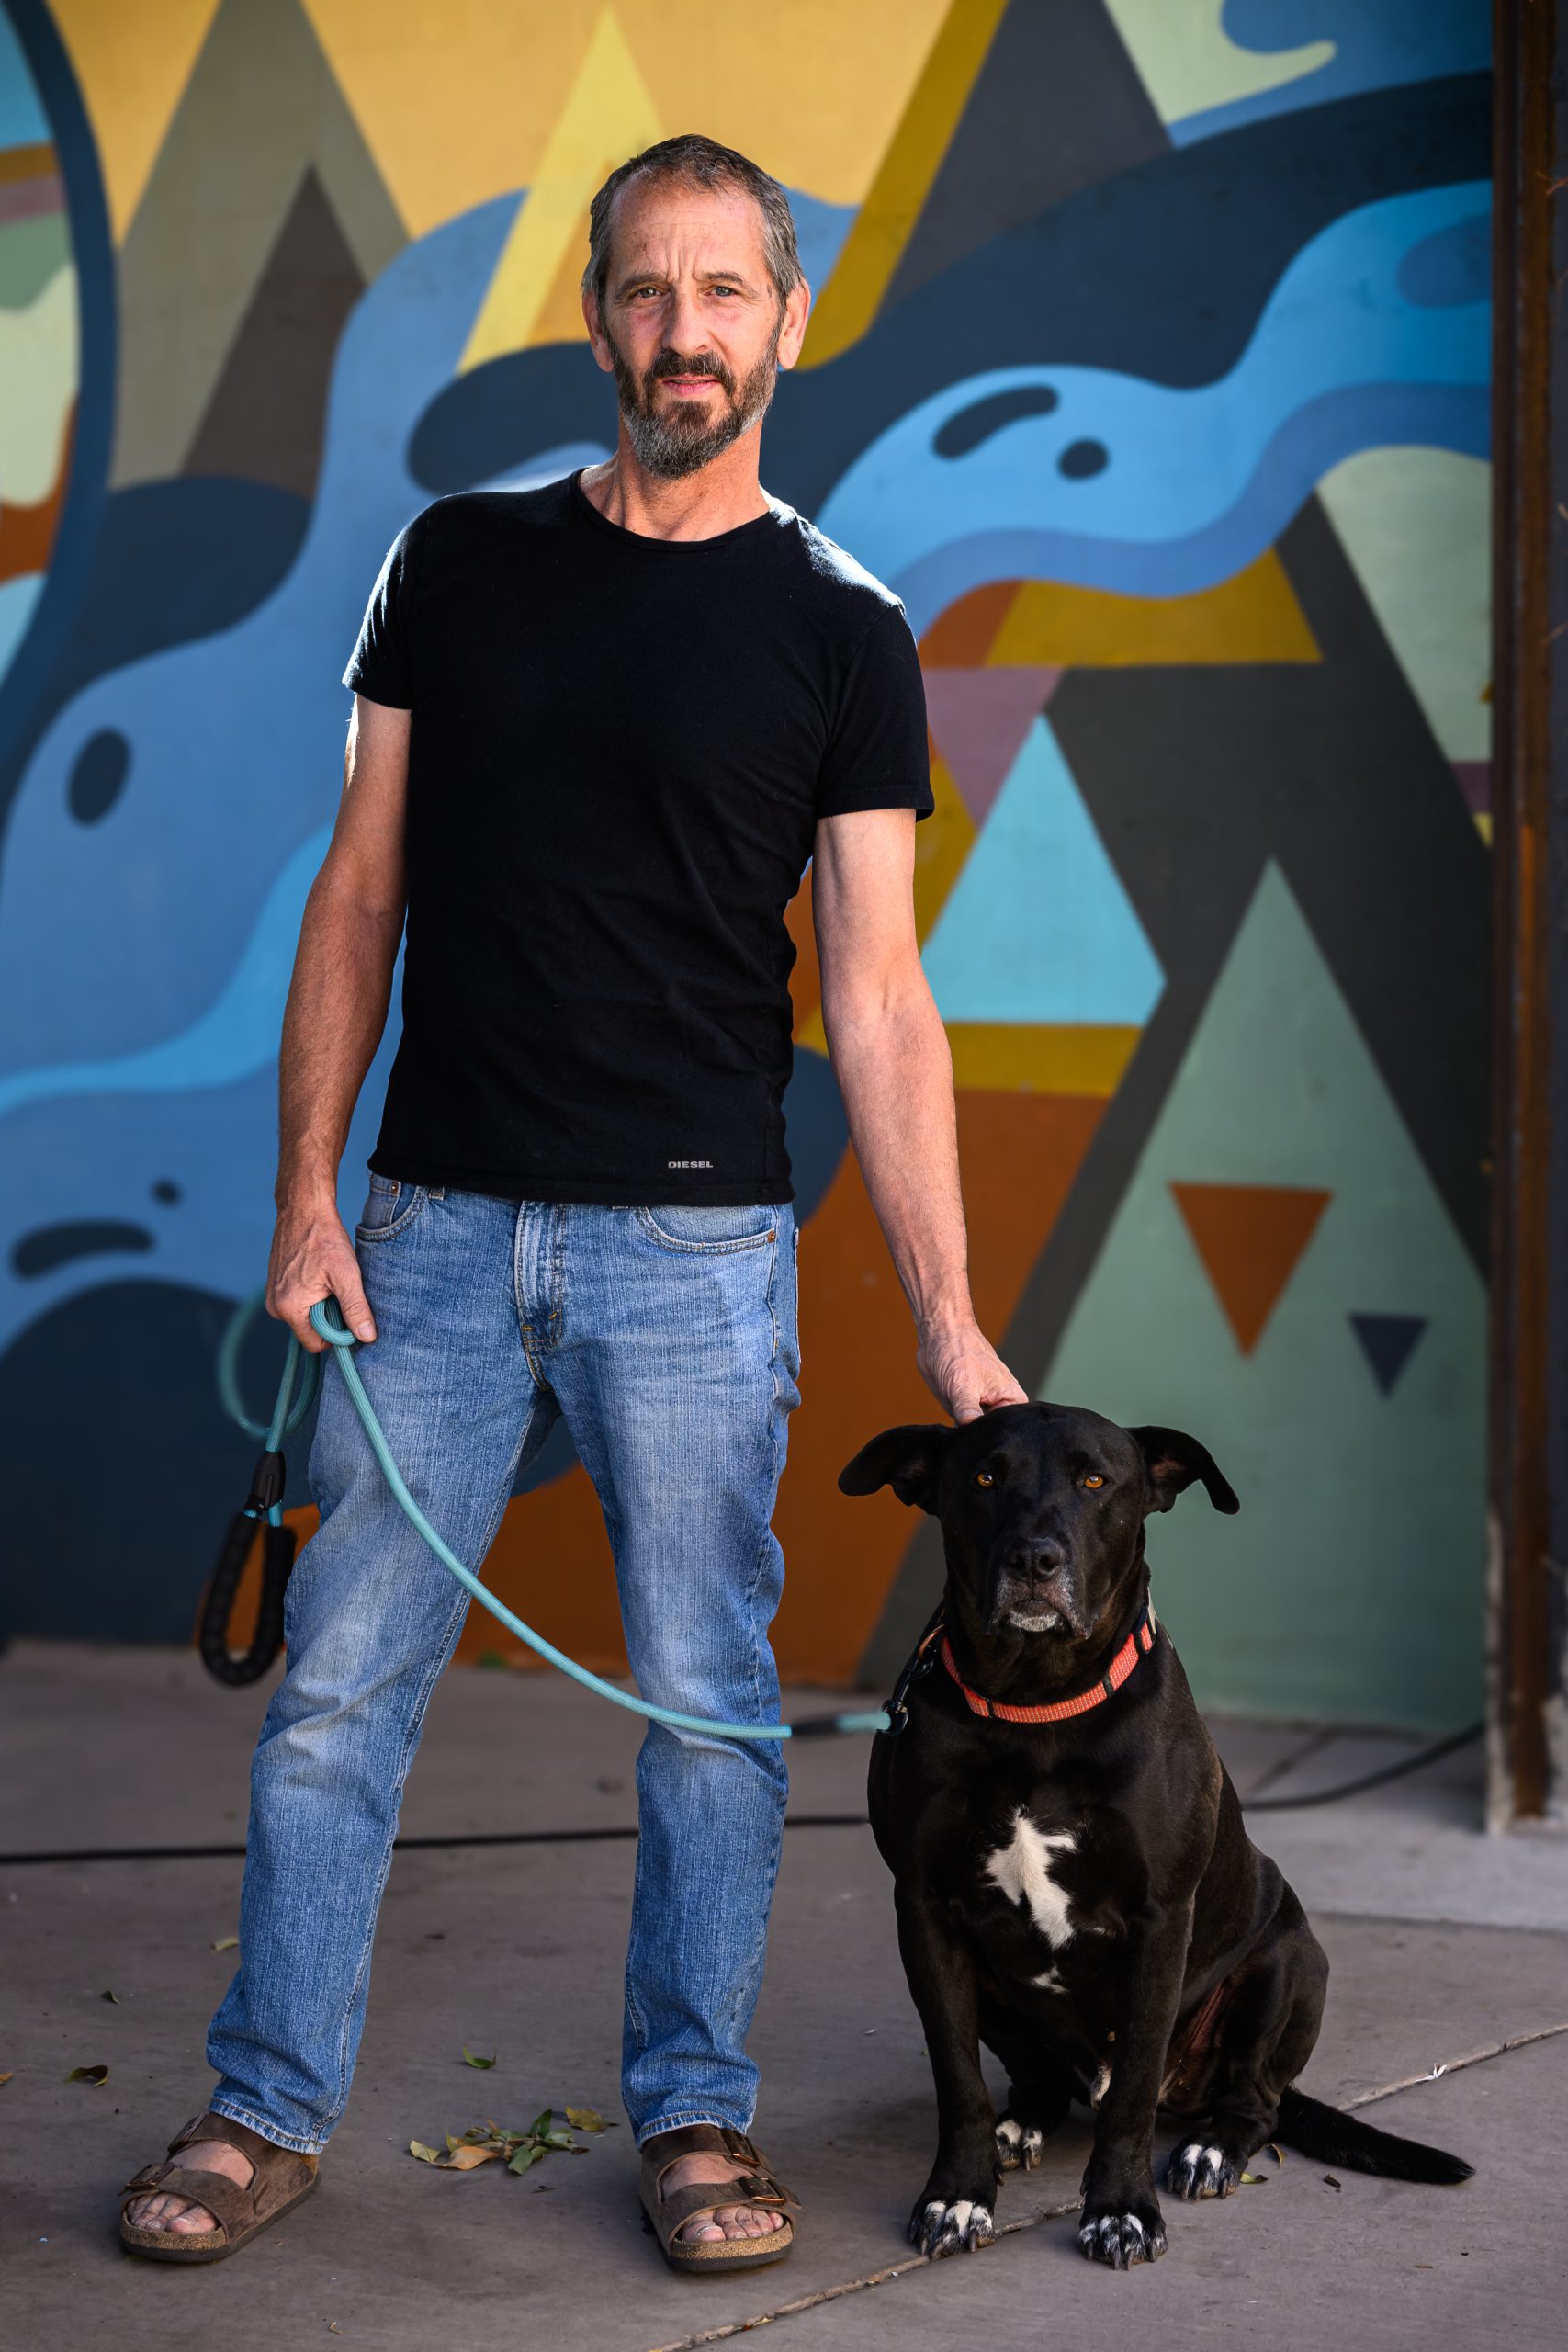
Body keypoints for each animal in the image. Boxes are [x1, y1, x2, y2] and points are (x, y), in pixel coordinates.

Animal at [840, 1402, 1472, 2269]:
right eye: (983, 1477)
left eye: (1094, 1480)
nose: (1033, 1560)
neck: (1035, 1704)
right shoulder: (927, 1912)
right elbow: (956, 2078)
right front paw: (958, 2196)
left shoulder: (1159, 1922)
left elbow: (1133, 2090)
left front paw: (1118, 2209)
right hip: (1000, 1991)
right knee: (1039, 2080)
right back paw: (1020, 2124)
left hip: (1289, 1962)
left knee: (1252, 2102)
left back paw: (1210, 2148)